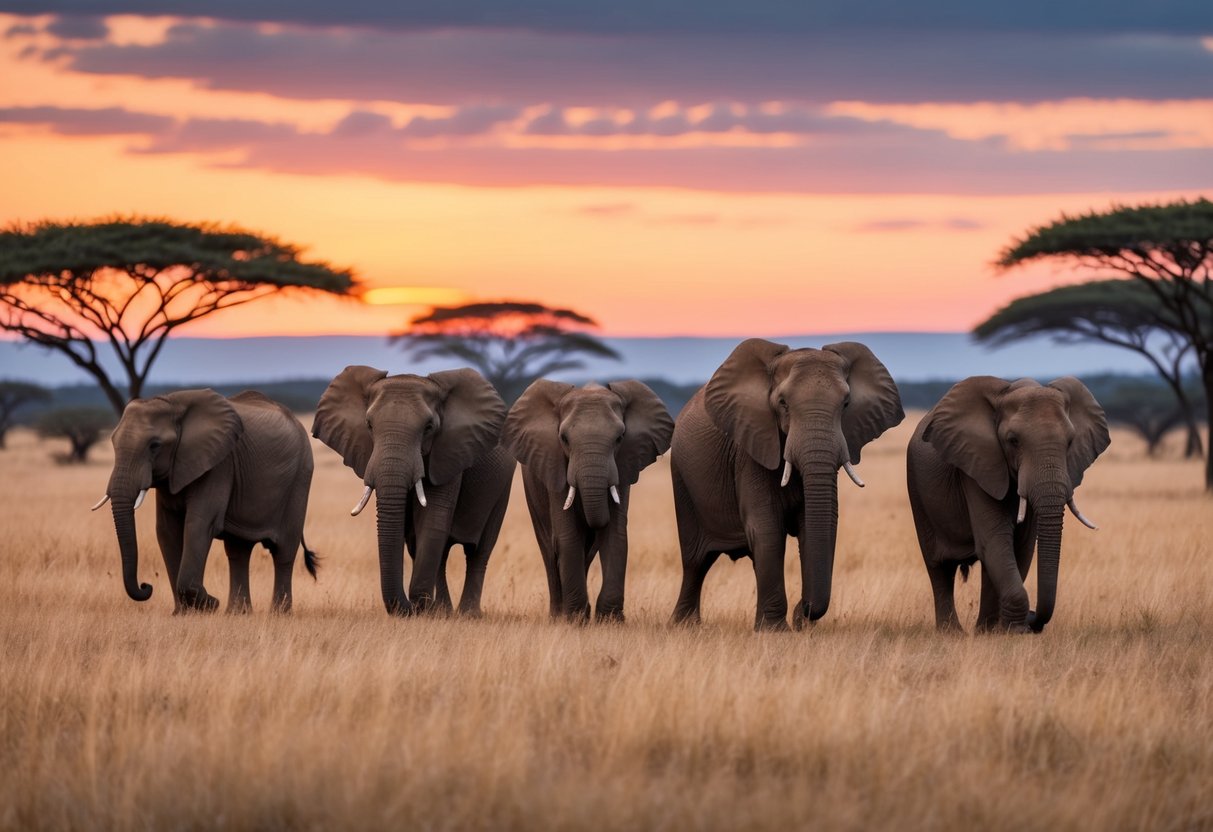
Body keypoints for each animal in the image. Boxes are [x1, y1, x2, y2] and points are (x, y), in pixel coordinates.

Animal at [91, 390, 315, 613]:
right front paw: (183, 613)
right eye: (113, 442)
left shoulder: (219, 465)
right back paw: (237, 614)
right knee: (238, 551)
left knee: (284, 552)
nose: (146, 585)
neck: (172, 403)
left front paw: (210, 604)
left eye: (154, 445)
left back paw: (278, 614)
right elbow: (166, 529)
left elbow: (199, 523)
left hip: (300, 478)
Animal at [310, 366, 514, 618]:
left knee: (478, 550)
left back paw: (467, 614)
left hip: (503, 485)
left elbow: (432, 520)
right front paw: (431, 612)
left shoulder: (448, 453)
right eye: (369, 425)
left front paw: (426, 609)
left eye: (429, 427)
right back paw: (443, 611)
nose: (411, 608)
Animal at [499, 380, 674, 620]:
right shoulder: (555, 466)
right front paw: (576, 619)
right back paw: (557, 616)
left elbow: (615, 535)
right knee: (549, 550)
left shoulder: (623, 464)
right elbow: (568, 536)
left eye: (619, 438)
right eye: (564, 438)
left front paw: (609, 620)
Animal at [669, 339, 907, 630]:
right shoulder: (750, 450)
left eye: (846, 404)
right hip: (681, 477)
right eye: (783, 403)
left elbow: (818, 525)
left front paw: (792, 626)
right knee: (695, 560)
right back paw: (684, 626)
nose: (801, 614)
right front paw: (774, 631)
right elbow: (767, 528)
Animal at [907, 378, 1111, 630]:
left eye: (1070, 441)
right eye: (1013, 441)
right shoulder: (977, 466)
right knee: (938, 566)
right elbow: (994, 539)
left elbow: (1022, 547)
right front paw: (1014, 630)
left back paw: (982, 630)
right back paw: (953, 633)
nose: (1033, 618)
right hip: (917, 490)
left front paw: (1002, 630)